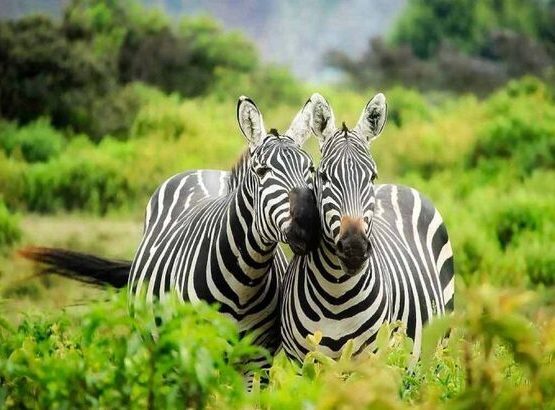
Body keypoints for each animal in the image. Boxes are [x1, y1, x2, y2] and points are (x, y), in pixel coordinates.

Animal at [20, 95, 322, 368]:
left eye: (311, 169)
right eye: (261, 171)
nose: (308, 225)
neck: (245, 280)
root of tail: (203, 170)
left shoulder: (258, 359)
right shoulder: (195, 351)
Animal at [280, 93, 454, 362]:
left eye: (372, 176)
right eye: (323, 176)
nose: (354, 248)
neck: (336, 294)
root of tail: (399, 186)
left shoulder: (370, 361)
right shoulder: (301, 363)